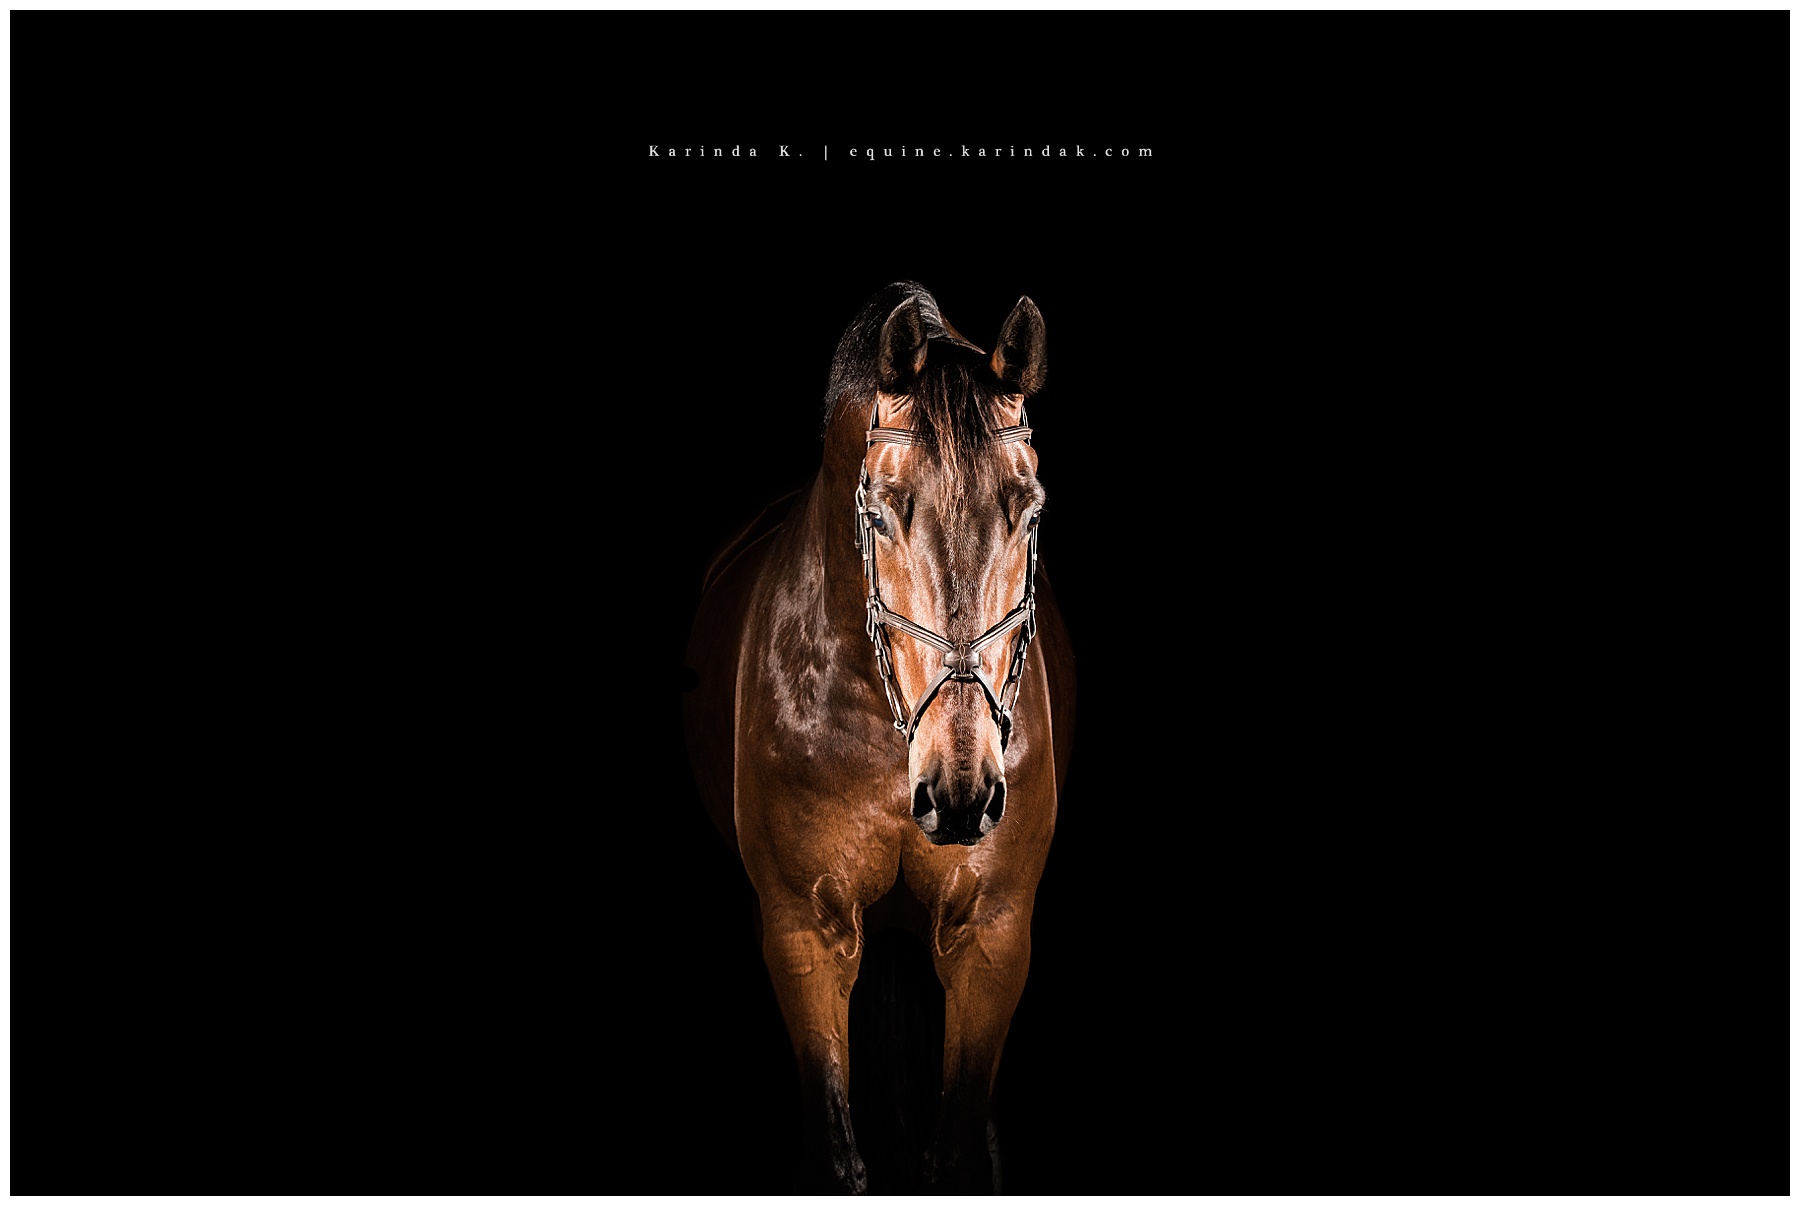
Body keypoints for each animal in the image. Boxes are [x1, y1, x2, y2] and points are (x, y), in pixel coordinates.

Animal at [683, 281, 1076, 1193]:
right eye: (883, 513)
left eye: (1029, 509)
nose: (962, 794)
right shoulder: (805, 933)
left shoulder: (992, 933)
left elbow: (957, 1149)